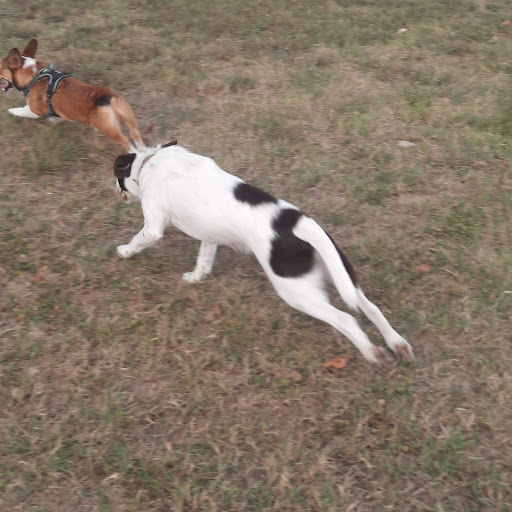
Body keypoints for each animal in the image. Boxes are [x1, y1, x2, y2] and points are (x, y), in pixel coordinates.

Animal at [1, 39, 144, 151]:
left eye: (0, 68)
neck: (34, 76)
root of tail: (107, 96)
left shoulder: (34, 110)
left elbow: (22, 110)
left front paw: (12, 111)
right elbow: (60, 116)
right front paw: (53, 120)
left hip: (108, 129)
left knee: (126, 141)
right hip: (130, 121)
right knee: (136, 137)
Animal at [113, 143, 414, 364]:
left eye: (118, 176)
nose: (115, 188)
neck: (153, 160)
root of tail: (296, 222)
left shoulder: (153, 227)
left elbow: (138, 241)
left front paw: (124, 252)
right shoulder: (209, 236)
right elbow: (204, 261)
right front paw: (196, 278)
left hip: (295, 292)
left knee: (346, 318)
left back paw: (372, 352)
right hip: (338, 272)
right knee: (370, 307)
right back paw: (398, 344)